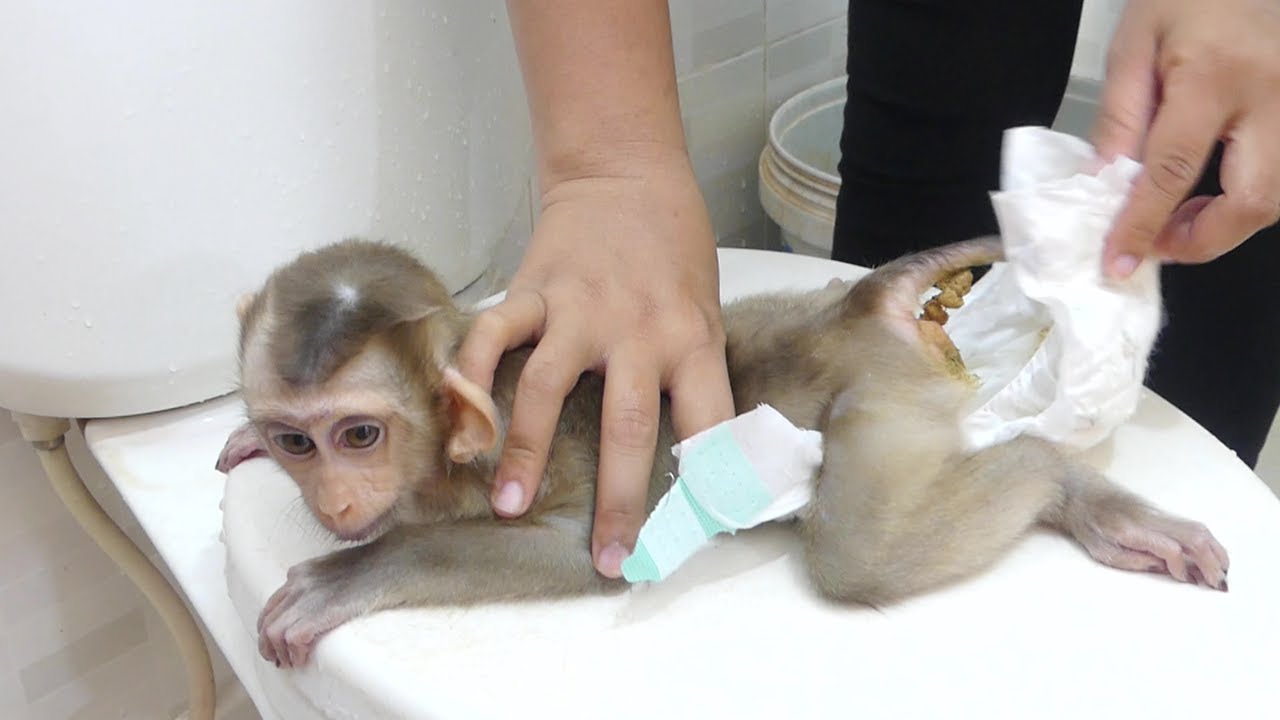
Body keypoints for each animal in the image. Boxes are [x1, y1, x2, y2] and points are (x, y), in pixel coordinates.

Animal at [217, 237, 1228, 666]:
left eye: (358, 435)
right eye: (296, 439)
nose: (334, 499)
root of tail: (862, 318)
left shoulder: (511, 463)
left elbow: (590, 553)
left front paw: (353, 574)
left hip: (884, 396)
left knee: (858, 554)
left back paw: (1065, 485)